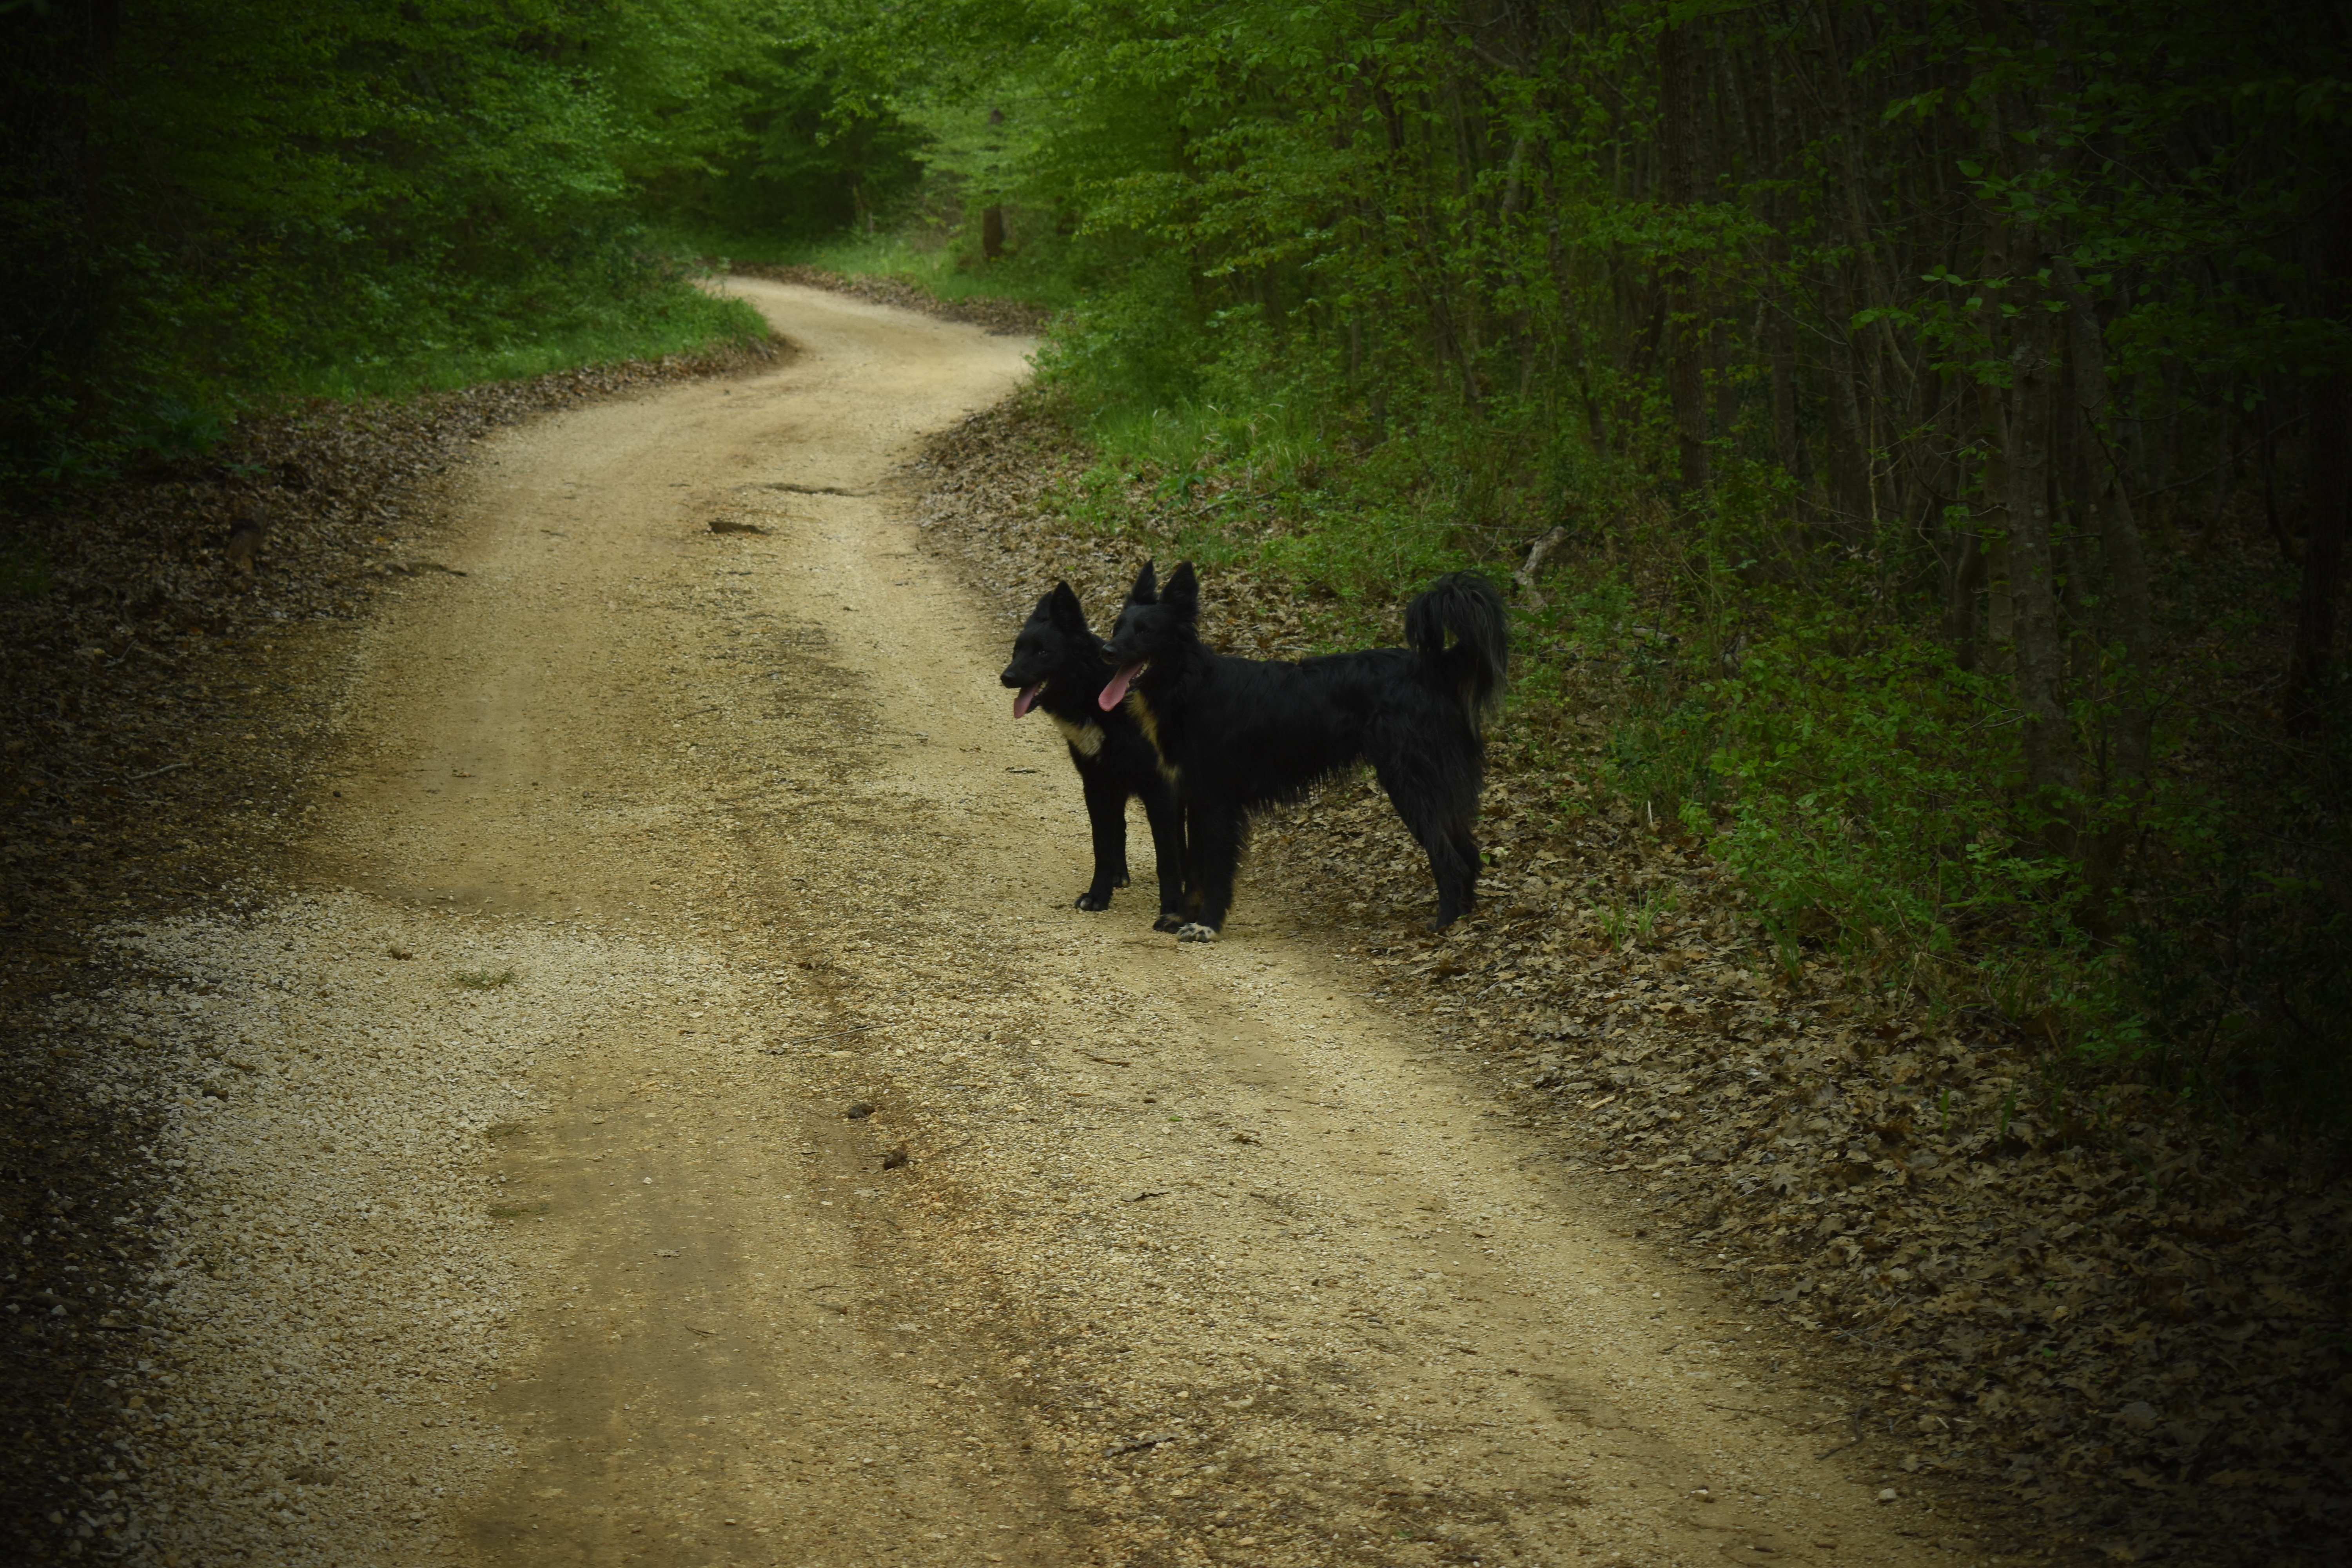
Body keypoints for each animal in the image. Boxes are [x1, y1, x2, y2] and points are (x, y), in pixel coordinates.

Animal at [1001, 579, 1188, 929]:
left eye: (1043, 652)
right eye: (1017, 651)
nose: (1006, 678)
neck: (1094, 693)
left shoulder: (1158, 789)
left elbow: (1167, 855)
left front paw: (1172, 906)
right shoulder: (1096, 784)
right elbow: (1102, 845)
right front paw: (1099, 895)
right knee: (1120, 828)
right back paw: (1119, 874)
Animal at [1097, 560, 1507, 940]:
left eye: (1145, 631)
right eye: (1118, 627)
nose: (1107, 651)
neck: (1189, 684)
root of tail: (1432, 669)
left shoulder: (1217, 804)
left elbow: (1214, 870)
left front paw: (1207, 925)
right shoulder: (1196, 799)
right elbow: (1195, 869)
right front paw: (1184, 917)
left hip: (1412, 785)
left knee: (1451, 859)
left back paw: (1445, 924)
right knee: (1469, 854)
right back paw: (1464, 920)